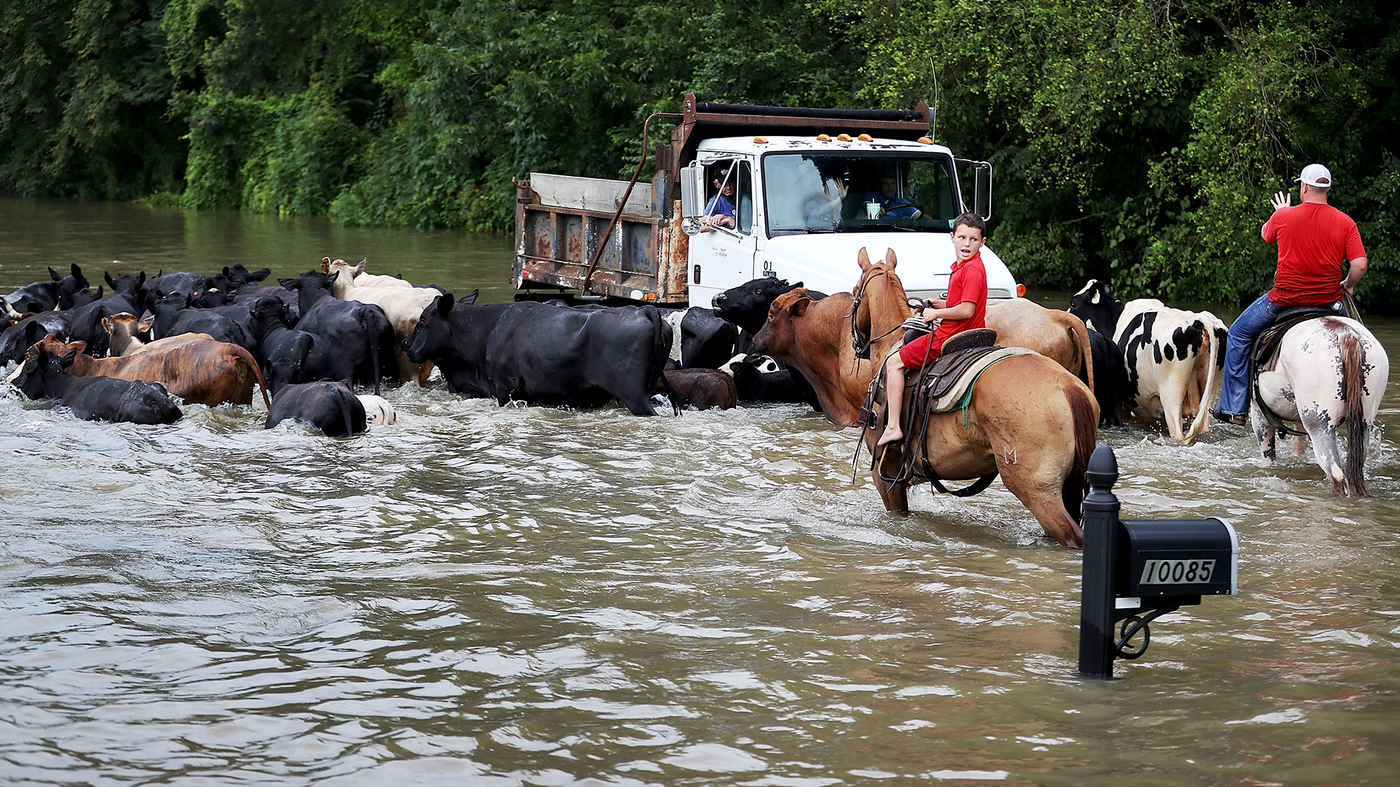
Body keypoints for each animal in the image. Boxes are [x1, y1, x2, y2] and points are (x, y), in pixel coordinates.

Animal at [1254, 313, 1383, 492]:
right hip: (1363, 422)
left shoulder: (1259, 415)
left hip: (1320, 426)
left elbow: (1268, 456)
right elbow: (1299, 444)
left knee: (1336, 473)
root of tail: (1345, 333)